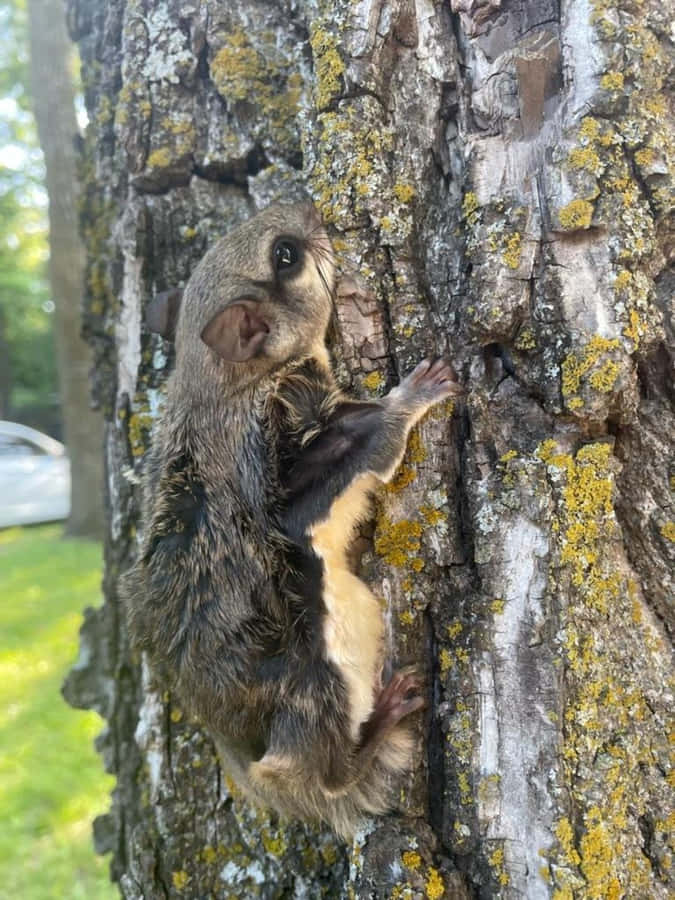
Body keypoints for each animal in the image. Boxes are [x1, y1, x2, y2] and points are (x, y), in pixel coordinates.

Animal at [123, 202, 461, 839]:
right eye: (285, 255)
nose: (309, 205)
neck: (219, 383)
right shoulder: (298, 437)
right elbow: (374, 437)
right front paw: (419, 389)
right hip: (320, 690)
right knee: (332, 775)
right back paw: (382, 723)